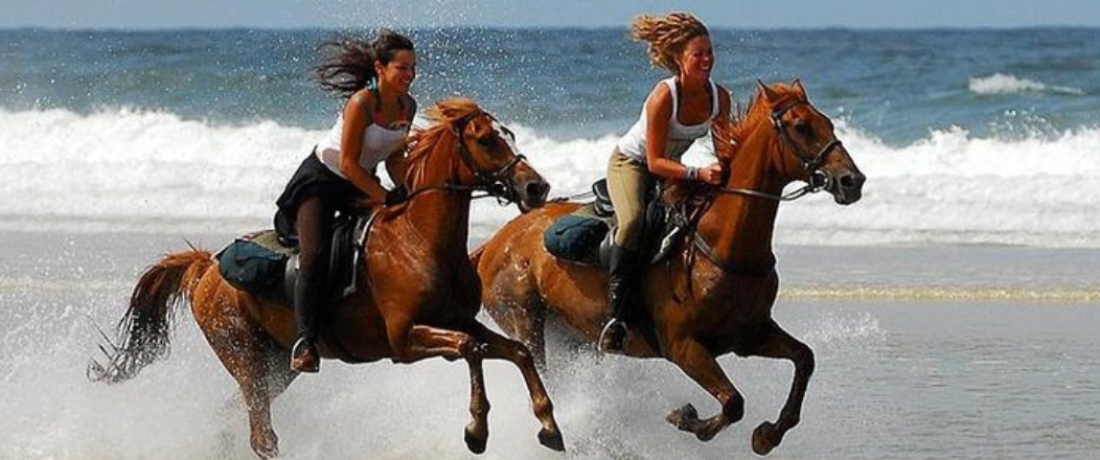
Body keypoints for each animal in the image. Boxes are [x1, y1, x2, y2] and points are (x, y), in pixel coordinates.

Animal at [89, 99, 563, 457]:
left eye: (509, 135)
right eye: (486, 140)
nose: (537, 188)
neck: (420, 241)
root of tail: (207, 268)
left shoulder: (459, 320)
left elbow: (516, 351)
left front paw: (548, 426)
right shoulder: (405, 340)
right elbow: (471, 349)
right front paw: (476, 431)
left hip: (278, 366)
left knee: (234, 418)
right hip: (244, 356)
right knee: (262, 435)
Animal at [473, 80, 866, 455]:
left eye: (828, 123)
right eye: (802, 127)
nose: (853, 181)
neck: (724, 244)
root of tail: (494, 242)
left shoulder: (750, 335)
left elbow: (804, 359)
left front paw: (767, 435)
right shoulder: (683, 347)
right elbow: (733, 402)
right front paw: (686, 418)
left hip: (575, 336)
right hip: (525, 321)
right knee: (546, 378)